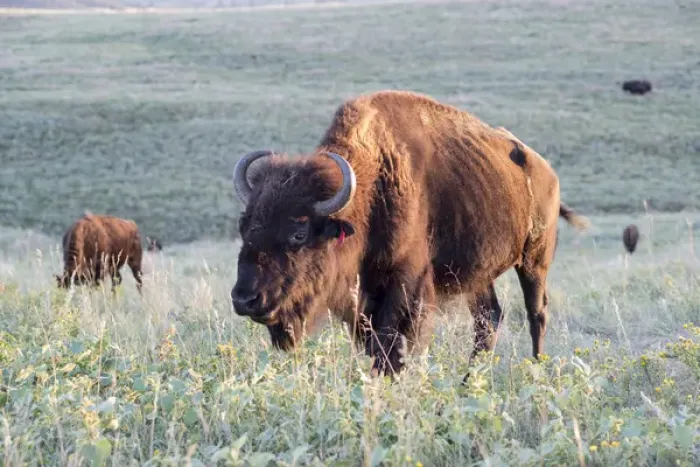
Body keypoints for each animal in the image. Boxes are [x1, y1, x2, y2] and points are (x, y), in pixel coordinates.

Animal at [230, 90, 589, 379]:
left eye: (299, 232)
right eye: (244, 226)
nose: (245, 299)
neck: (372, 187)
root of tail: (547, 172)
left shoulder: (404, 283)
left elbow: (391, 345)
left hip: (534, 261)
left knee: (536, 313)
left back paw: (537, 370)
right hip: (478, 275)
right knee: (488, 319)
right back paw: (468, 382)